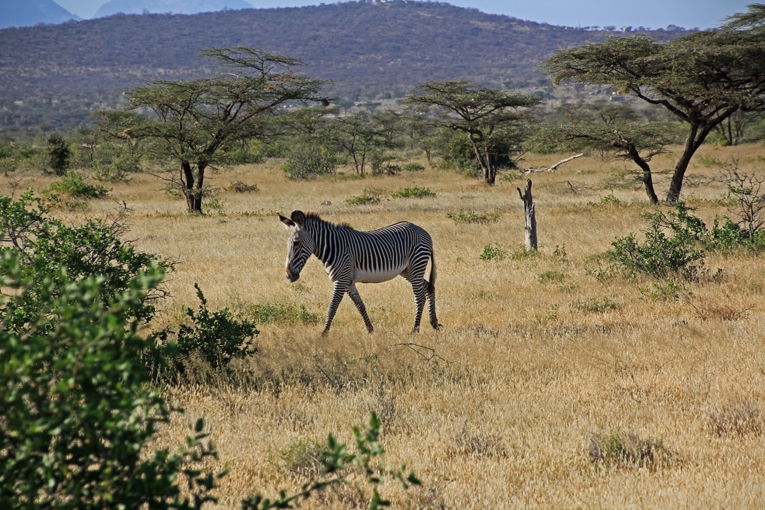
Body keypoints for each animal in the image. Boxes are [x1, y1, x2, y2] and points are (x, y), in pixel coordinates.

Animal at [280, 210, 442, 334]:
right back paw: (434, 323)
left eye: (296, 243)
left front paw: (324, 334)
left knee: (419, 297)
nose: (288, 275)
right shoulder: (348, 282)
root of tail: (423, 231)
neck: (334, 247)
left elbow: (332, 307)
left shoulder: (341, 279)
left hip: (416, 265)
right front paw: (370, 330)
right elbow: (360, 306)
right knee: (429, 287)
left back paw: (415, 329)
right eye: (287, 244)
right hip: (408, 271)